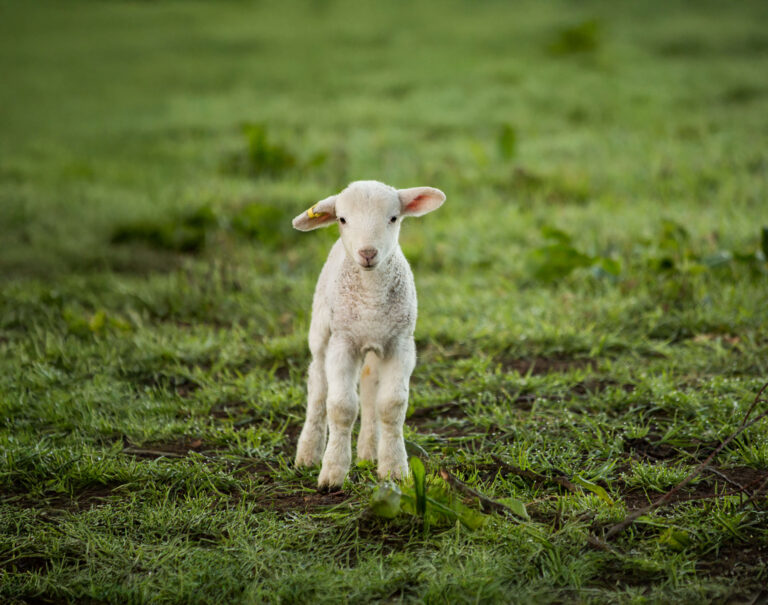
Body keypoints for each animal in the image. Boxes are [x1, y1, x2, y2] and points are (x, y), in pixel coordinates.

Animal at [292, 180, 446, 489]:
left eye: (393, 218)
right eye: (342, 219)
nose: (367, 253)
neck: (371, 296)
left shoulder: (400, 344)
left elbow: (391, 406)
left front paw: (394, 468)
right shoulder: (343, 343)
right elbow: (341, 407)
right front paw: (333, 473)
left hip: (376, 344)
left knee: (369, 385)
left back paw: (368, 451)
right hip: (321, 330)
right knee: (318, 385)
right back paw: (308, 453)